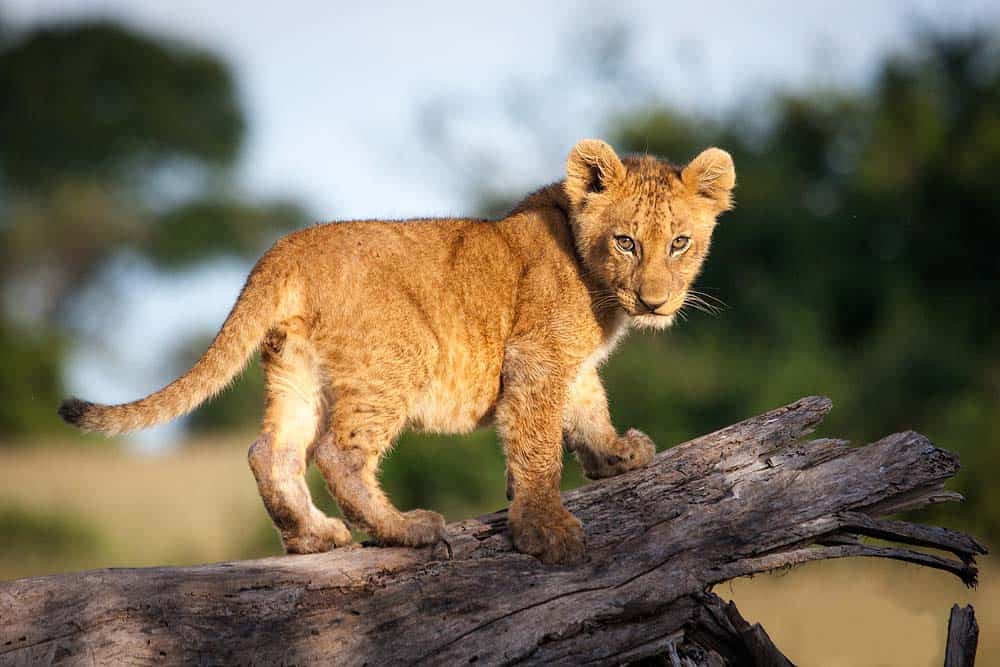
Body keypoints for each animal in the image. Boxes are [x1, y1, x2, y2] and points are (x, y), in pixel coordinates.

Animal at [58, 139, 735, 564]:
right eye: (626, 242)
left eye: (679, 242)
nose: (654, 302)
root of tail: (286, 248)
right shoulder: (537, 358)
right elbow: (538, 445)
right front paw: (547, 527)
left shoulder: (570, 366)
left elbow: (588, 409)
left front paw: (616, 455)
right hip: (395, 359)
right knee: (337, 456)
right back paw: (407, 530)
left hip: (295, 370)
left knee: (269, 451)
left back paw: (312, 538)